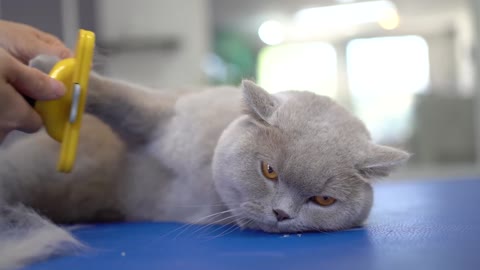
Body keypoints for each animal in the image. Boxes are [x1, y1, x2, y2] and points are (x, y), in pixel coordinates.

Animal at [0, 54, 408, 268]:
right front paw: (48, 69)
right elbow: (122, 98)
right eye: (269, 171)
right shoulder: (163, 115)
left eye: (323, 200)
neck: (206, 190)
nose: (282, 214)